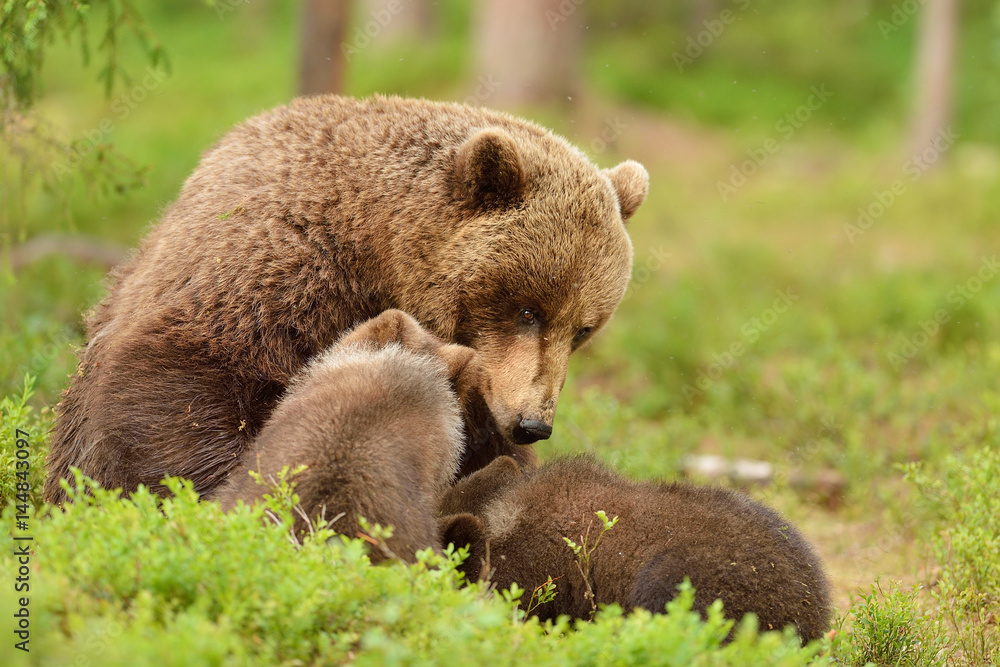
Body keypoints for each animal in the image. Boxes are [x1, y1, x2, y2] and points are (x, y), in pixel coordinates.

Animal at [44, 94, 649, 503]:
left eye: (584, 328)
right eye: (528, 311)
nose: (533, 424)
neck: (375, 244)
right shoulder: (277, 270)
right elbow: (183, 382)